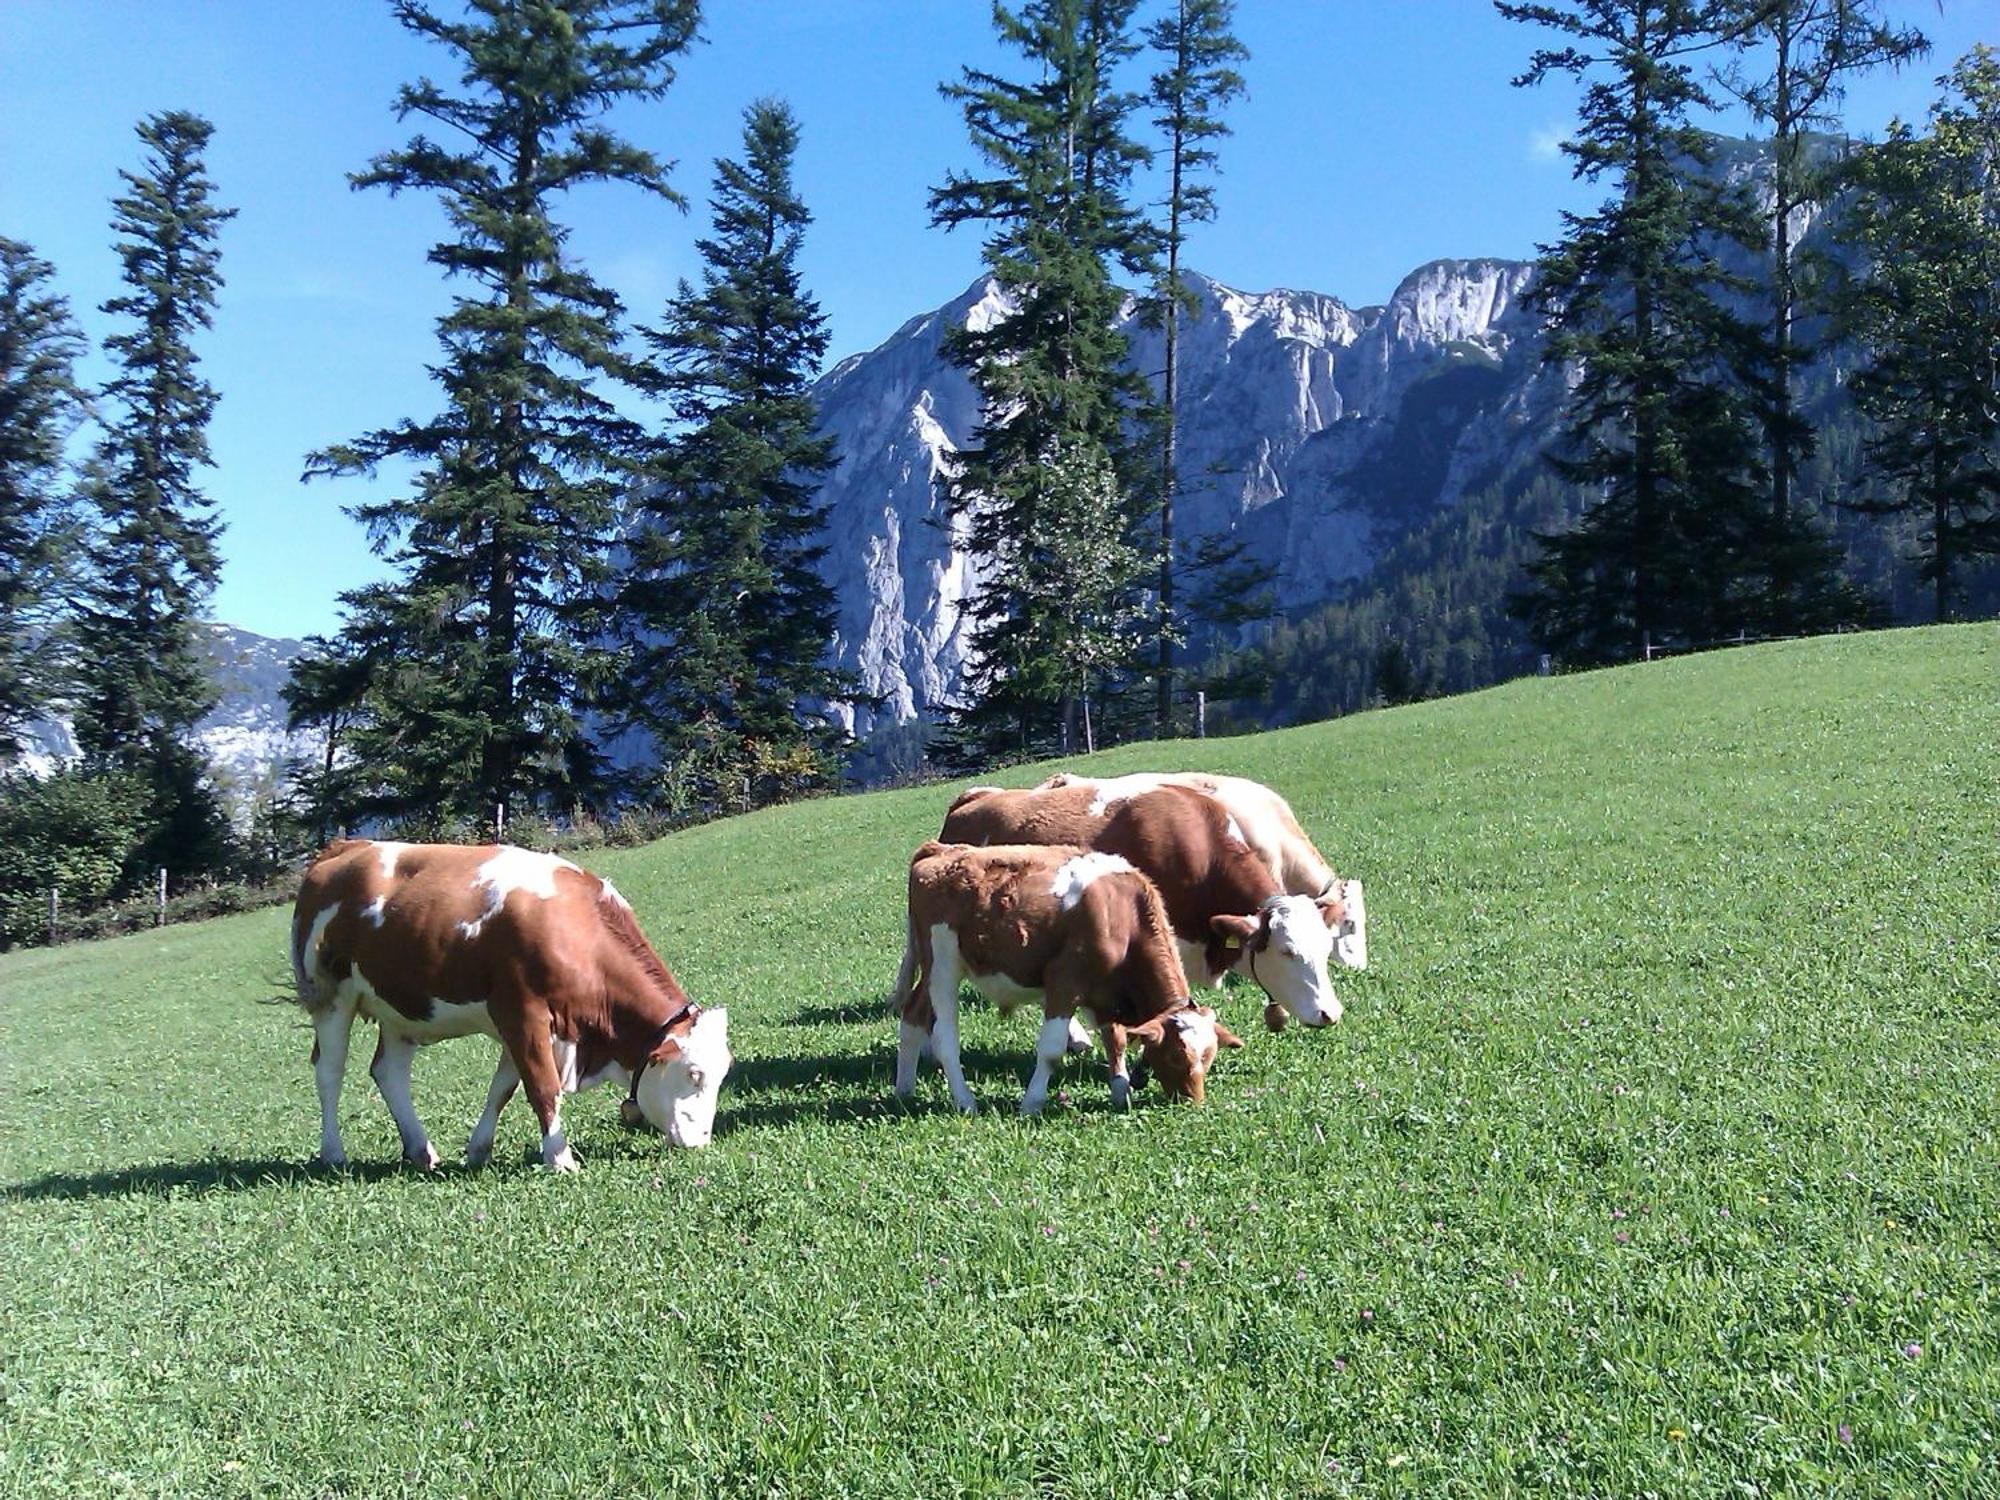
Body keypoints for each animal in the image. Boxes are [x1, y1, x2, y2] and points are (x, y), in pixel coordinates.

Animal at [290, 840, 736, 1168]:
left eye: (723, 1073)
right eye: (694, 1074)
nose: (701, 1142)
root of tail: (345, 846)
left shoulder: (520, 1024)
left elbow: (502, 1088)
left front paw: (478, 1150)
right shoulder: (523, 1014)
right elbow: (542, 1087)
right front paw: (559, 1159)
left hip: (401, 1006)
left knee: (389, 1072)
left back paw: (421, 1150)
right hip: (330, 997)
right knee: (329, 1073)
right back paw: (333, 1154)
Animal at [892, 848, 1232, 1120]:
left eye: (1209, 1057)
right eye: (1176, 1055)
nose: (1193, 1101)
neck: (1121, 913)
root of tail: (939, 851)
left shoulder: (1104, 993)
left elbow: (1116, 1040)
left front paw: (1120, 1090)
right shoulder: (1064, 981)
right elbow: (1052, 1050)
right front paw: (1032, 1103)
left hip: (931, 971)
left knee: (912, 1016)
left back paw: (904, 1089)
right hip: (943, 966)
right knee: (943, 1037)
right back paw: (965, 1101)